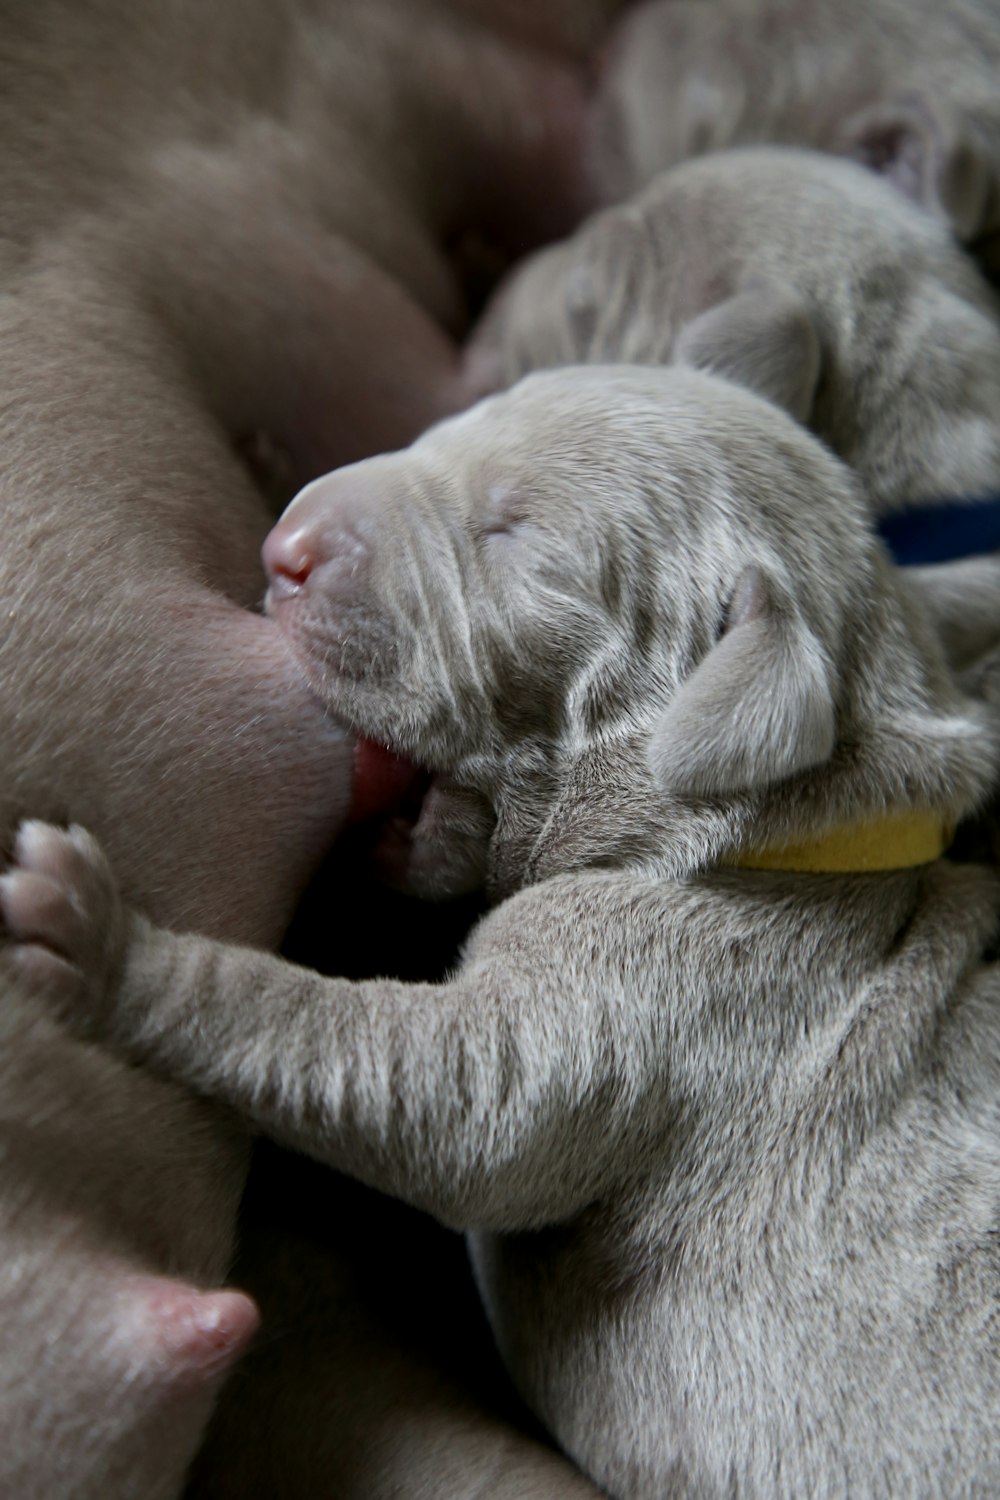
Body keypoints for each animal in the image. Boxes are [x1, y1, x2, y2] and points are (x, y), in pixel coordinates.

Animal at [7, 366, 1000, 1500]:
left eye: (513, 536)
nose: (284, 546)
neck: (798, 841)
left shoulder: (661, 987)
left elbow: (443, 1093)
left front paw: (105, 945)